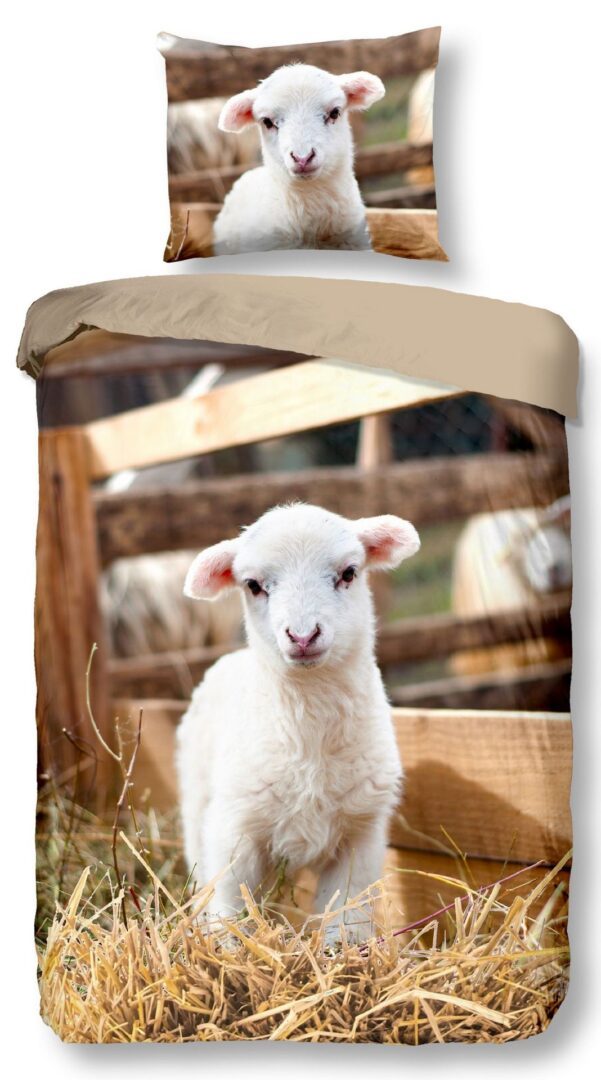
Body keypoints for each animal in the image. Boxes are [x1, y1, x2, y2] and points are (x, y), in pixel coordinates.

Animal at [176, 503, 420, 944]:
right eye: (253, 585)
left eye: (349, 573)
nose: (303, 636)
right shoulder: (234, 831)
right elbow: (230, 907)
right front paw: (228, 951)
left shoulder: (360, 835)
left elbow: (346, 916)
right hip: (197, 801)